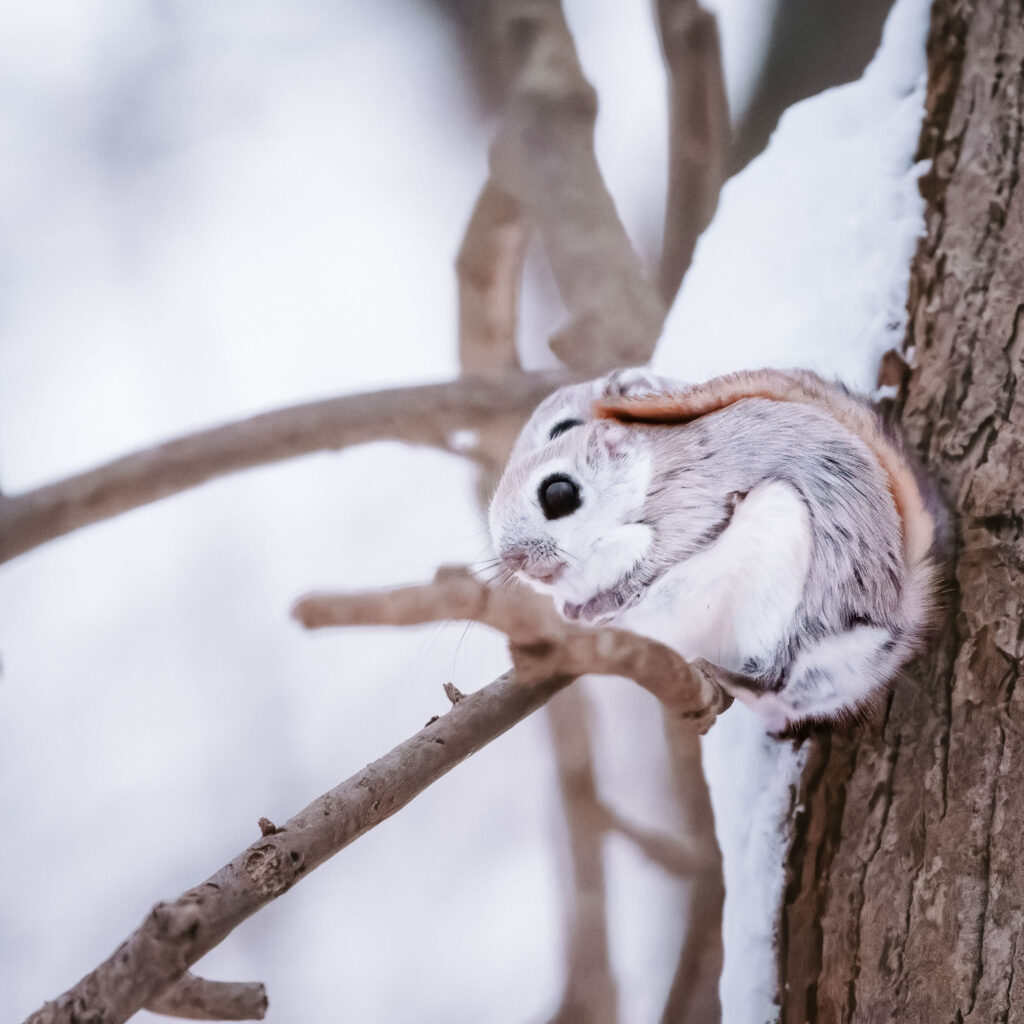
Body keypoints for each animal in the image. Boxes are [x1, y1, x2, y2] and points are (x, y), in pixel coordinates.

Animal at [488, 367, 948, 733]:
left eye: (559, 493)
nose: (514, 560)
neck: (644, 476)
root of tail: (892, 628)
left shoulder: (694, 502)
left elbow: (659, 559)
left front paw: (603, 602)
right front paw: (574, 609)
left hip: (778, 572)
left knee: (774, 676)